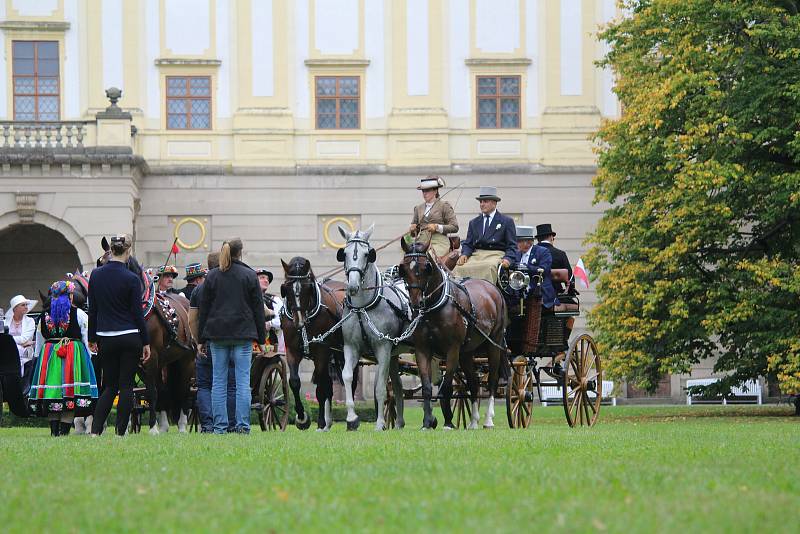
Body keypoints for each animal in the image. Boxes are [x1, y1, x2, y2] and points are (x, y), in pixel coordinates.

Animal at [96, 239, 196, 436]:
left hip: (185, 361)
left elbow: (150, 392)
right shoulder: (139, 361)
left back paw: (181, 425)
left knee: (183, 391)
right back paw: (164, 424)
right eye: (99, 263)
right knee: (165, 390)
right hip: (164, 363)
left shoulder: (151, 358)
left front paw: (152, 428)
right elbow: (137, 391)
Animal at [280, 258, 346, 434]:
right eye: (286, 288)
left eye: (307, 288)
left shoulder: (321, 351)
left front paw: (321, 422)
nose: (299, 321)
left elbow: (320, 390)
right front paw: (302, 417)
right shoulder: (292, 351)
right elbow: (294, 381)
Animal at [336, 225, 410, 432]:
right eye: (344, 254)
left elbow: (379, 388)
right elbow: (347, 376)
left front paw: (379, 423)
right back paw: (399, 423)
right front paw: (352, 418)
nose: (353, 286)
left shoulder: (383, 348)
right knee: (398, 387)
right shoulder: (351, 347)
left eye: (367, 254)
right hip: (395, 354)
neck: (363, 307)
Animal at [398, 241, 510, 430]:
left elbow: (447, 387)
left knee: (492, 380)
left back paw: (488, 419)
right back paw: (473, 421)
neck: (436, 307)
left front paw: (448, 422)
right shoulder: (422, 349)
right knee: (473, 382)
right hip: (467, 352)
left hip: (493, 344)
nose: (415, 303)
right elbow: (427, 387)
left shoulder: (452, 350)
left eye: (426, 267)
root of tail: (493, 288)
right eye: (403, 269)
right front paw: (427, 422)